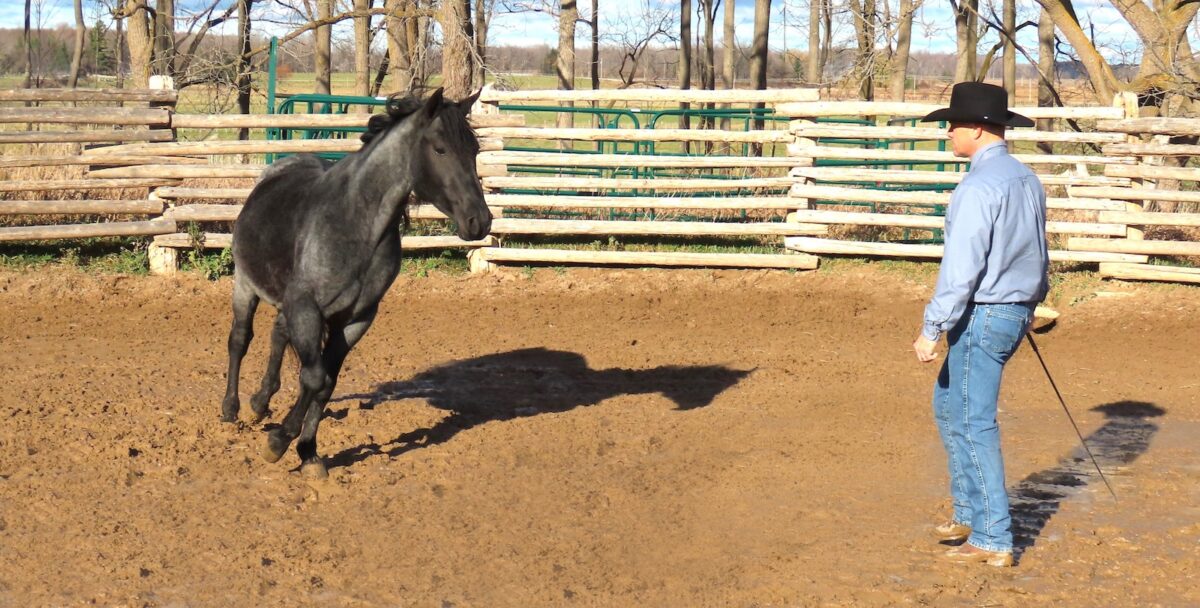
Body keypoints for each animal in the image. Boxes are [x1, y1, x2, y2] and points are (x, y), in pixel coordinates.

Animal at [219, 88, 492, 478]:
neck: (356, 225)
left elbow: (326, 382)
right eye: (440, 148)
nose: (479, 221)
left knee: (278, 335)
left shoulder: (356, 319)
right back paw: (232, 409)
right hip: (245, 284)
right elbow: (314, 378)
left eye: (474, 150)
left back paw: (260, 402)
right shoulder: (308, 309)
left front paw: (309, 453)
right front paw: (278, 443)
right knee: (240, 340)